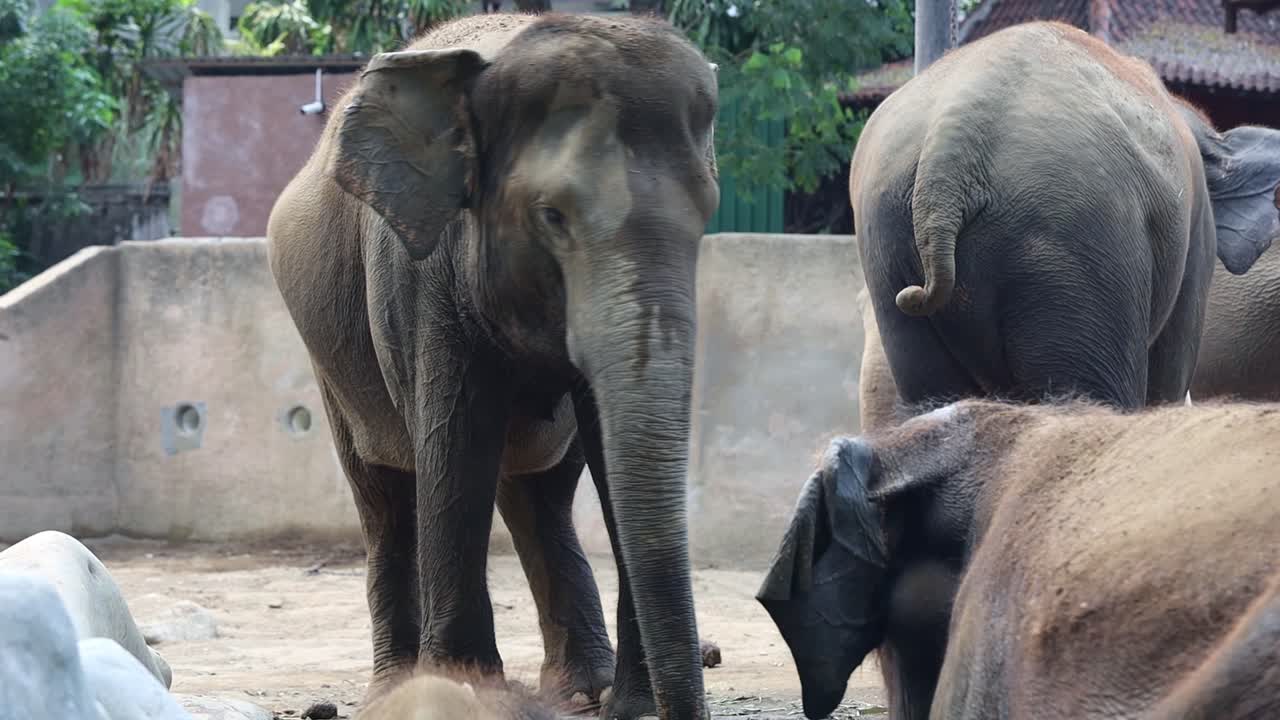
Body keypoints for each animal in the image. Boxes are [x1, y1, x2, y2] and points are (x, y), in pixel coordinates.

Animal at [266, 12, 720, 720]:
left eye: (708, 211)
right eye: (552, 215)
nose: (646, 707)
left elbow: (604, 450)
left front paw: (629, 704)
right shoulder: (420, 274)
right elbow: (456, 444)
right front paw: (461, 692)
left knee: (542, 496)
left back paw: (583, 689)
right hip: (329, 356)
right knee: (384, 495)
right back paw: (394, 691)